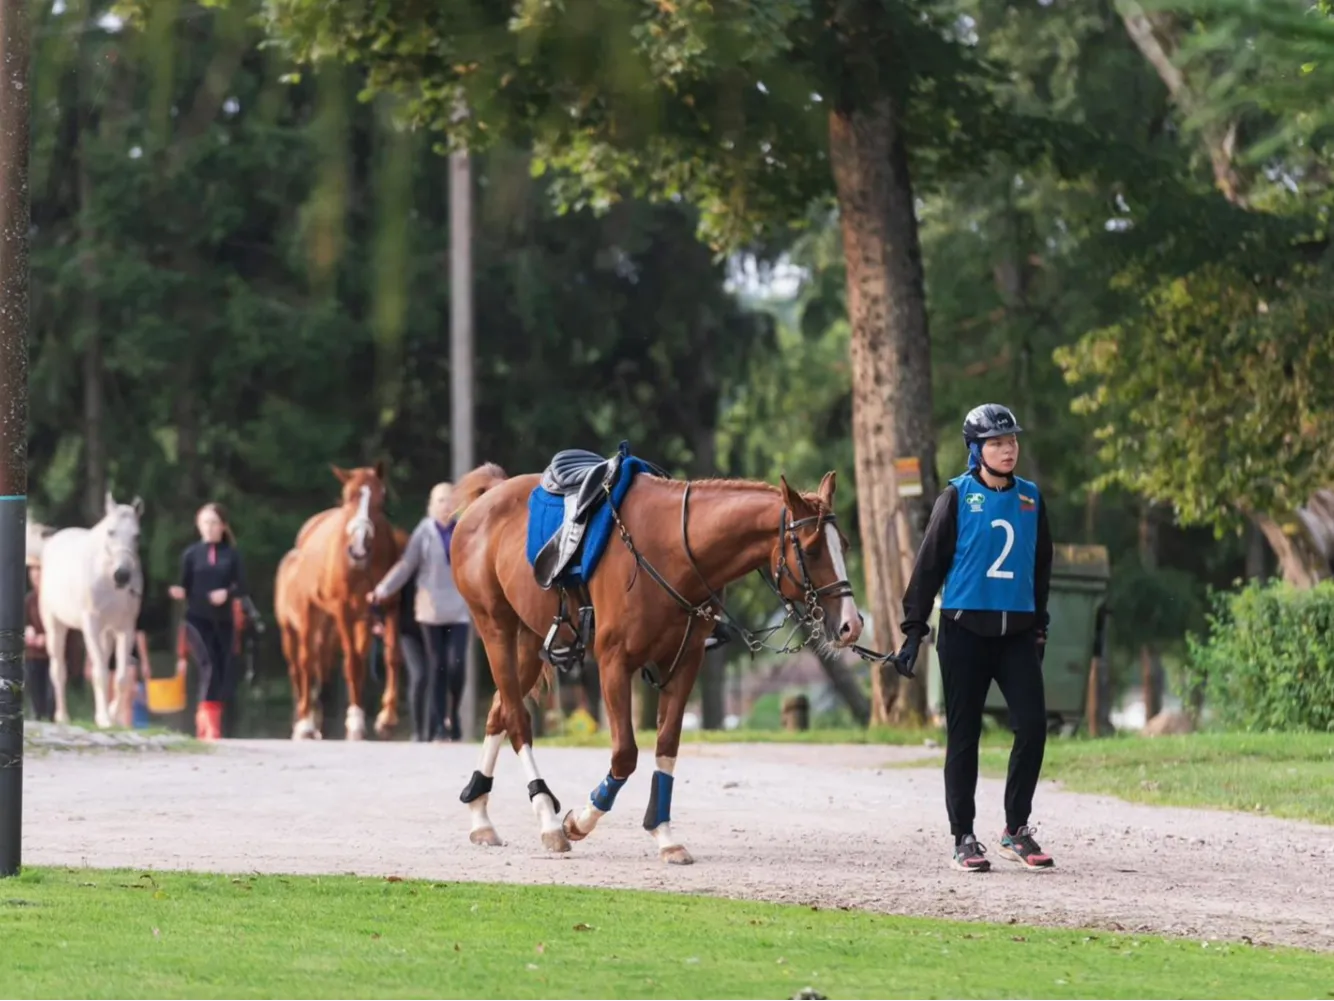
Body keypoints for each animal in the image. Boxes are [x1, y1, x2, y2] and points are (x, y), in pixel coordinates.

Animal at [40, 491, 144, 731]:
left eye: (137, 536)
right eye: (110, 531)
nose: (122, 575)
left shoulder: (125, 628)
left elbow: (121, 677)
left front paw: (112, 717)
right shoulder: (91, 625)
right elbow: (100, 673)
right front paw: (105, 719)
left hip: (107, 634)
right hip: (55, 626)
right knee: (58, 671)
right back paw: (63, 717)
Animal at [274, 467, 400, 742]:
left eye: (382, 500)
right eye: (347, 498)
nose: (359, 548)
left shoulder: (384, 607)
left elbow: (389, 656)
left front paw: (387, 719)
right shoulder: (343, 611)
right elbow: (352, 662)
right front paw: (355, 723)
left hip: (330, 626)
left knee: (322, 662)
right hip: (307, 618)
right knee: (305, 662)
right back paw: (305, 724)